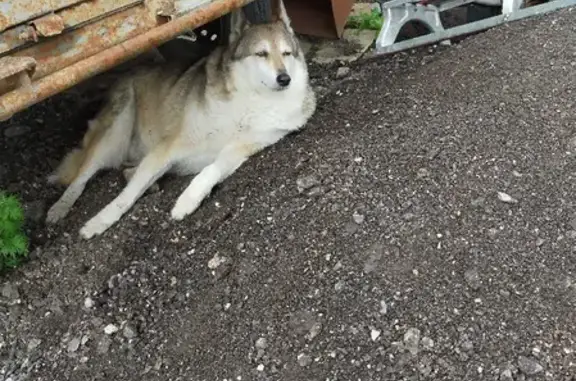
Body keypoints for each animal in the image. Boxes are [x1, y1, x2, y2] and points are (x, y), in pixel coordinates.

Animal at [46, 1, 316, 239]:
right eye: (261, 54)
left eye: (286, 53)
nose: (284, 78)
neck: (252, 103)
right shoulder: (168, 148)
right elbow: (124, 198)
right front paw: (99, 221)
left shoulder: (239, 150)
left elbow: (210, 170)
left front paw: (187, 201)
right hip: (115, 132)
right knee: (81, 177)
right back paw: (59, 208)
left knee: (126, 171)